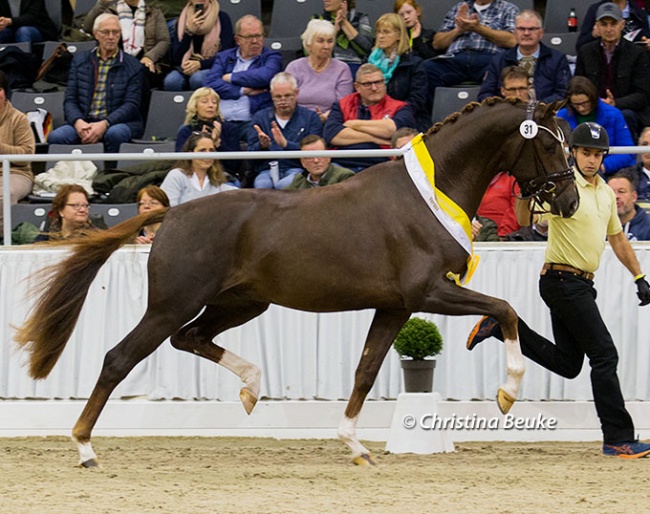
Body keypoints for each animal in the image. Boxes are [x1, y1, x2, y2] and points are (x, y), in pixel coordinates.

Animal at [15, 98, 576, 466]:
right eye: (550, 147)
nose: (570, 202)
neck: (428, 198)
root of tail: (170, 213)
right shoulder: (429, 292)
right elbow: (503, 308)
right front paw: (507, 393)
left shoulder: (395, 306)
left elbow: (366, 370)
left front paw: (355, 446)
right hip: (172, 305)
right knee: (121, 357)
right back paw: (85, 448)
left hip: (242, 304)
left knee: (191, 338)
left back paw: (251, 388)